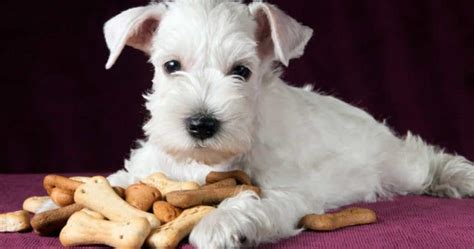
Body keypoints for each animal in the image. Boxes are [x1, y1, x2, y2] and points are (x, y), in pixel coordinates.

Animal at [47, 0, 474, 248]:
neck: (203, 161)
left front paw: (221, 224)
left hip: (400, 166)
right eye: (171, 65)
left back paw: (459, 177)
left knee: (425, 157)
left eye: (242, 71)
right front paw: (52, 201)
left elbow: (252, 199)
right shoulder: (150, 167)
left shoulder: (286, 189)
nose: (201, 124)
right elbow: (116, 180)